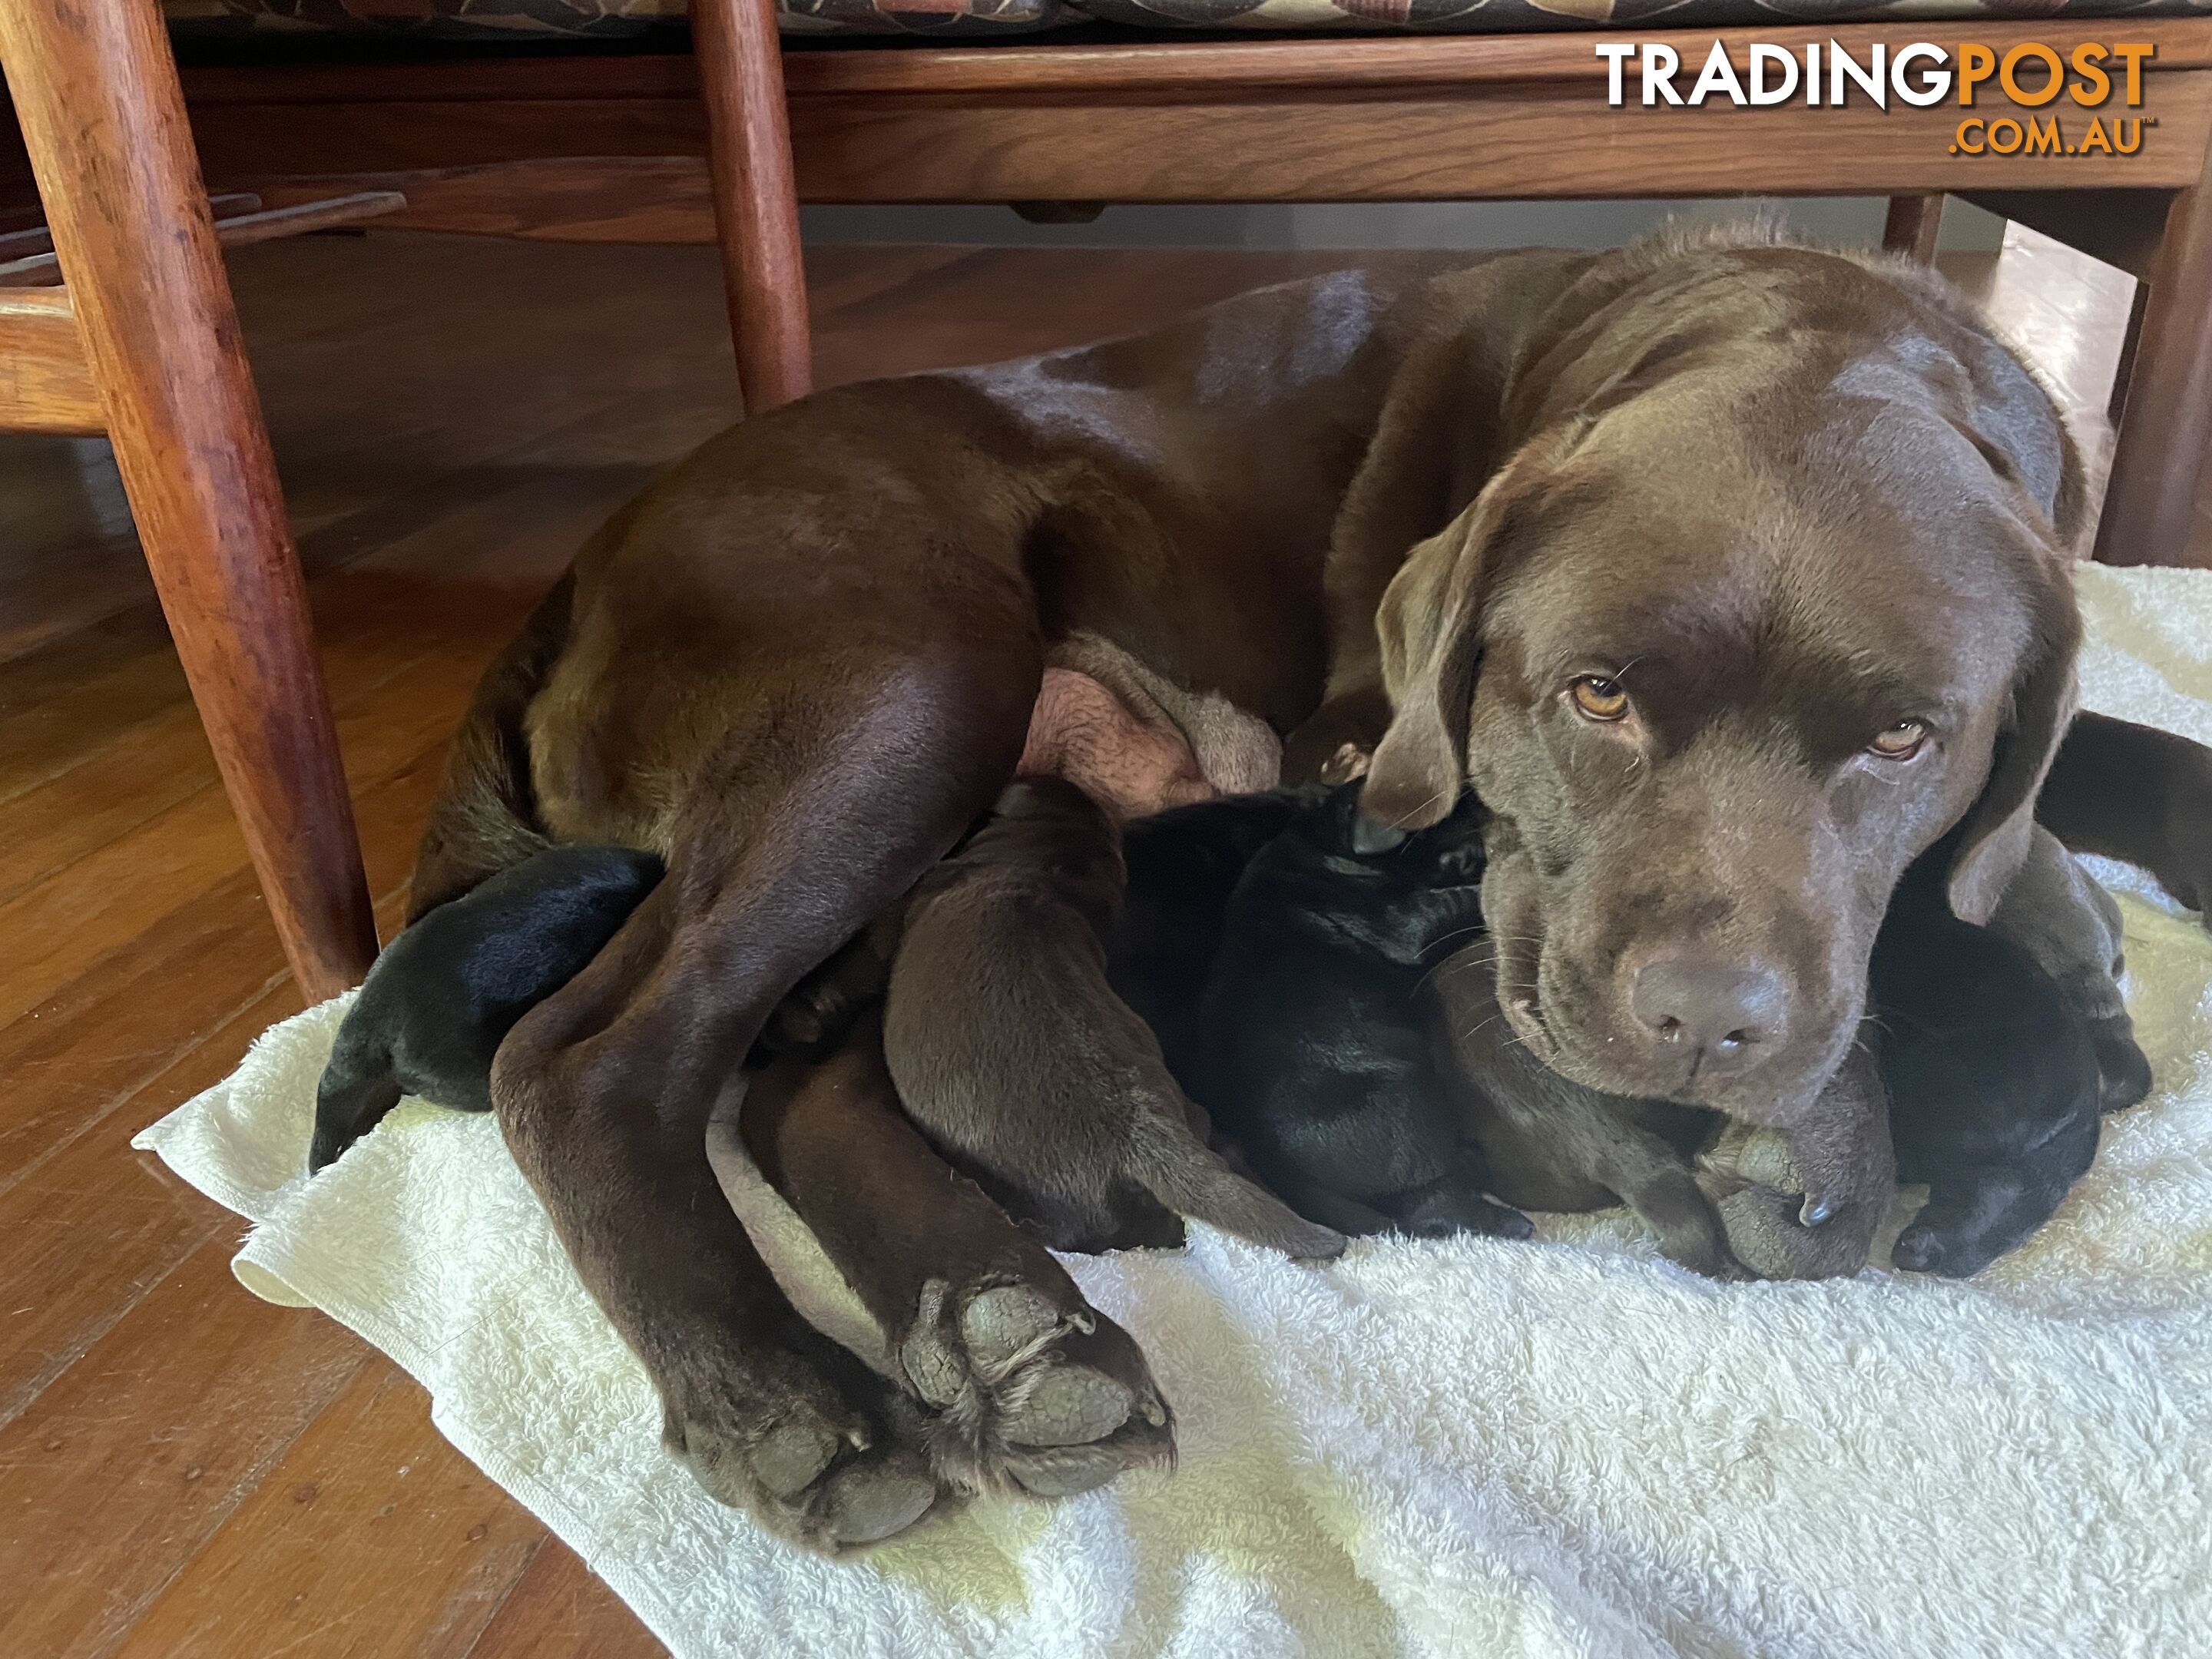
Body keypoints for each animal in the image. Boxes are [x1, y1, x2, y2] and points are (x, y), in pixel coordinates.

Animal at [411, 234, 2212, 1557]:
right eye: (1597, 695)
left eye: (1908, 737)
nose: (1704, 1030)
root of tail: (594, 555)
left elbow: (2127, 758)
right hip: (900, 684)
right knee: (592, 1063)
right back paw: (783, 1399)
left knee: (810, 1083)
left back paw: (1011, 1336)